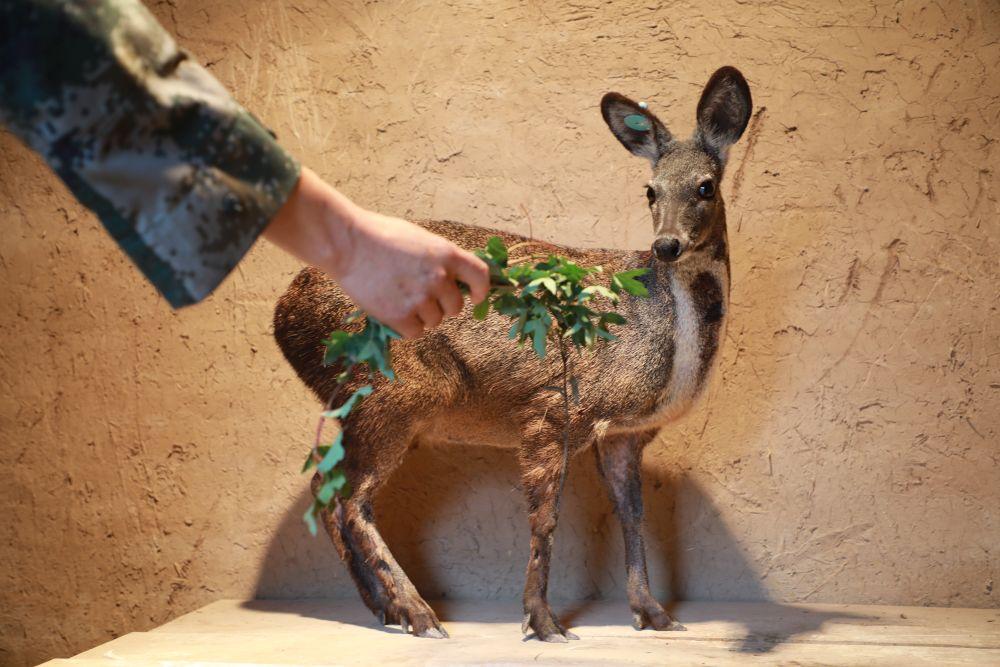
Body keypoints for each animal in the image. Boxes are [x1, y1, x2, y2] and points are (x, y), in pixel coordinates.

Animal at [272, 66, 752, 640]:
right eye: (650, 190)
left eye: (705, 186)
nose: (666, 246)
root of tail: (281, 316)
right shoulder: (554, 407)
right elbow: (545, 517)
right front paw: (543, 622)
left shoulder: (625, 434)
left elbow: (632, 514)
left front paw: (654, 614)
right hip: (393, 389)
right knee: (349, 498)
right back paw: (420, 614)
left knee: (325, 485)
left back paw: (386, 610)